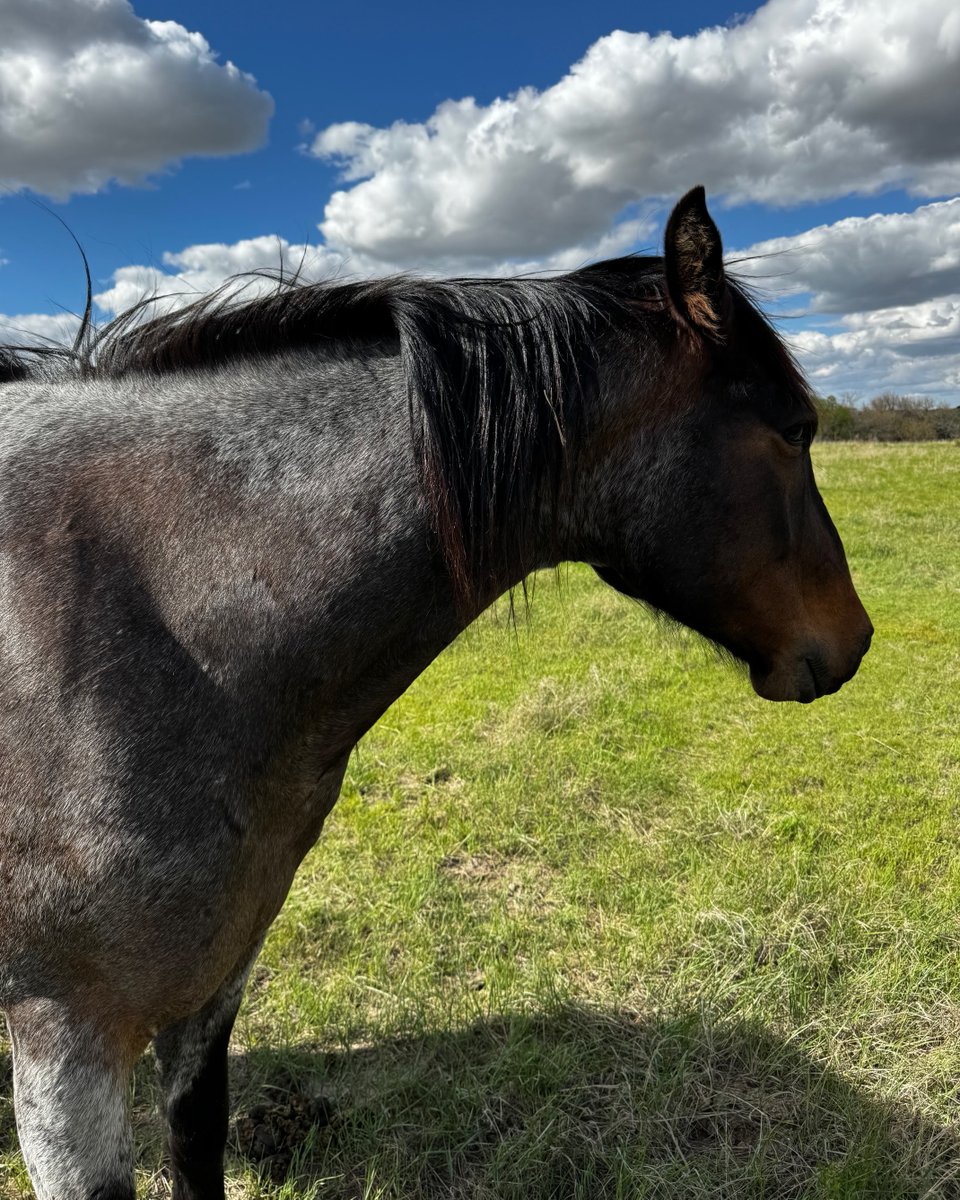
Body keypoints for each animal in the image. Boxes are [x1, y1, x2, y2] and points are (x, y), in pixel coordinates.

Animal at [0, 187, 871, 1200]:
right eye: (796, 428)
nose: (856, 637)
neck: (144, 617)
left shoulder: (213, 988)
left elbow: (197, 1140)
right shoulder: (66, 1046)